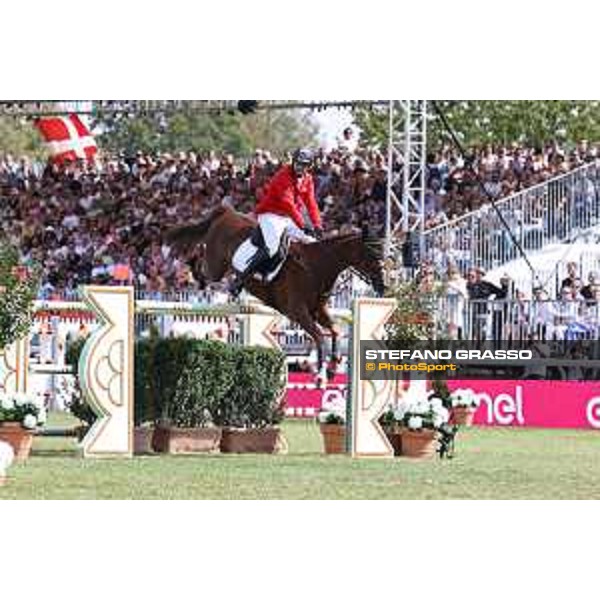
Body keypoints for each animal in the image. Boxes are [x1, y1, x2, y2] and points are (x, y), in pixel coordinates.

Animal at [166, 204, 386, 382]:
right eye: (372, 254)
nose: (383, 287)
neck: (316, 267)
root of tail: (227, 212)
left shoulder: (318, 311)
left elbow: (335, 331)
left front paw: (333, 367)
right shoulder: (297, 312)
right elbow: (319, 336)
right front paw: (321, 375)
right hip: (217, 266)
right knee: (203, 265)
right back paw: (195, 268)